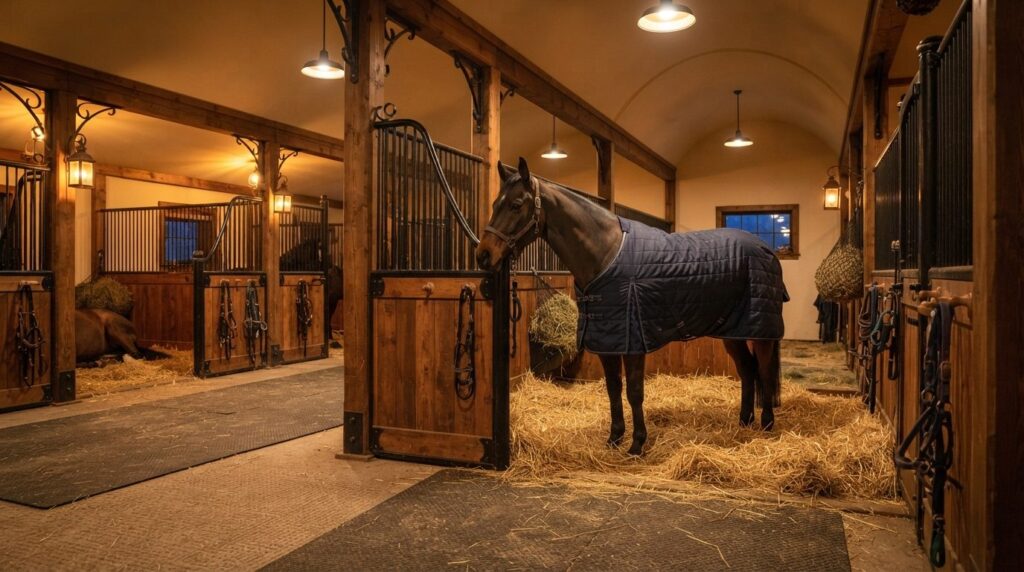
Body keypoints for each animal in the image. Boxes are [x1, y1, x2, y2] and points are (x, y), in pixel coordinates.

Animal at [476, 158, 789, 456]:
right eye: (494, 204)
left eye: (516, 205)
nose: (483, 255)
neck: (606, 254)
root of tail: (766, 250)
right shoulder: (607, 340)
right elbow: (614, 389)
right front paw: (614, 438)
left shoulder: (633, 341)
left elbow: (634, 392)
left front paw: (638, 443)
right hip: (733, 332)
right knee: (747, 370)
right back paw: (744, 421)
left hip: (761, 332)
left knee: (762, 370)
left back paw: (766, 425)